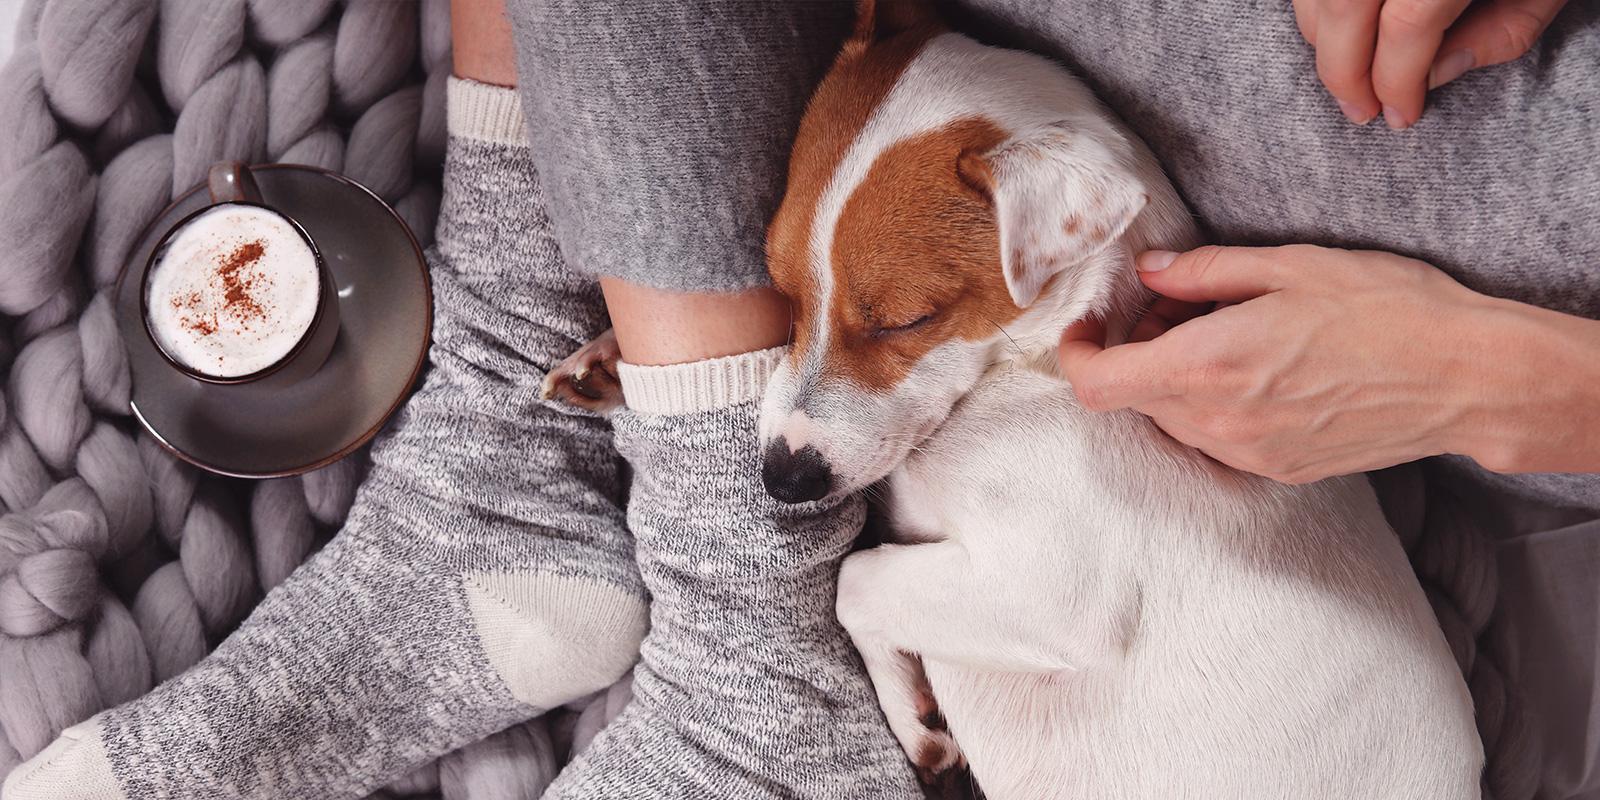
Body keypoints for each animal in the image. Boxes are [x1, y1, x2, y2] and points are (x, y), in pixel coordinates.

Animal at [755, 1, 1478, 800]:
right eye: (783, 292)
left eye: (904, 321)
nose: (782, 478)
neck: (1035, 368)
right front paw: (909, 708)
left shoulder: (1051, 591)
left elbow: (853, 579)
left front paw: (909, 708)